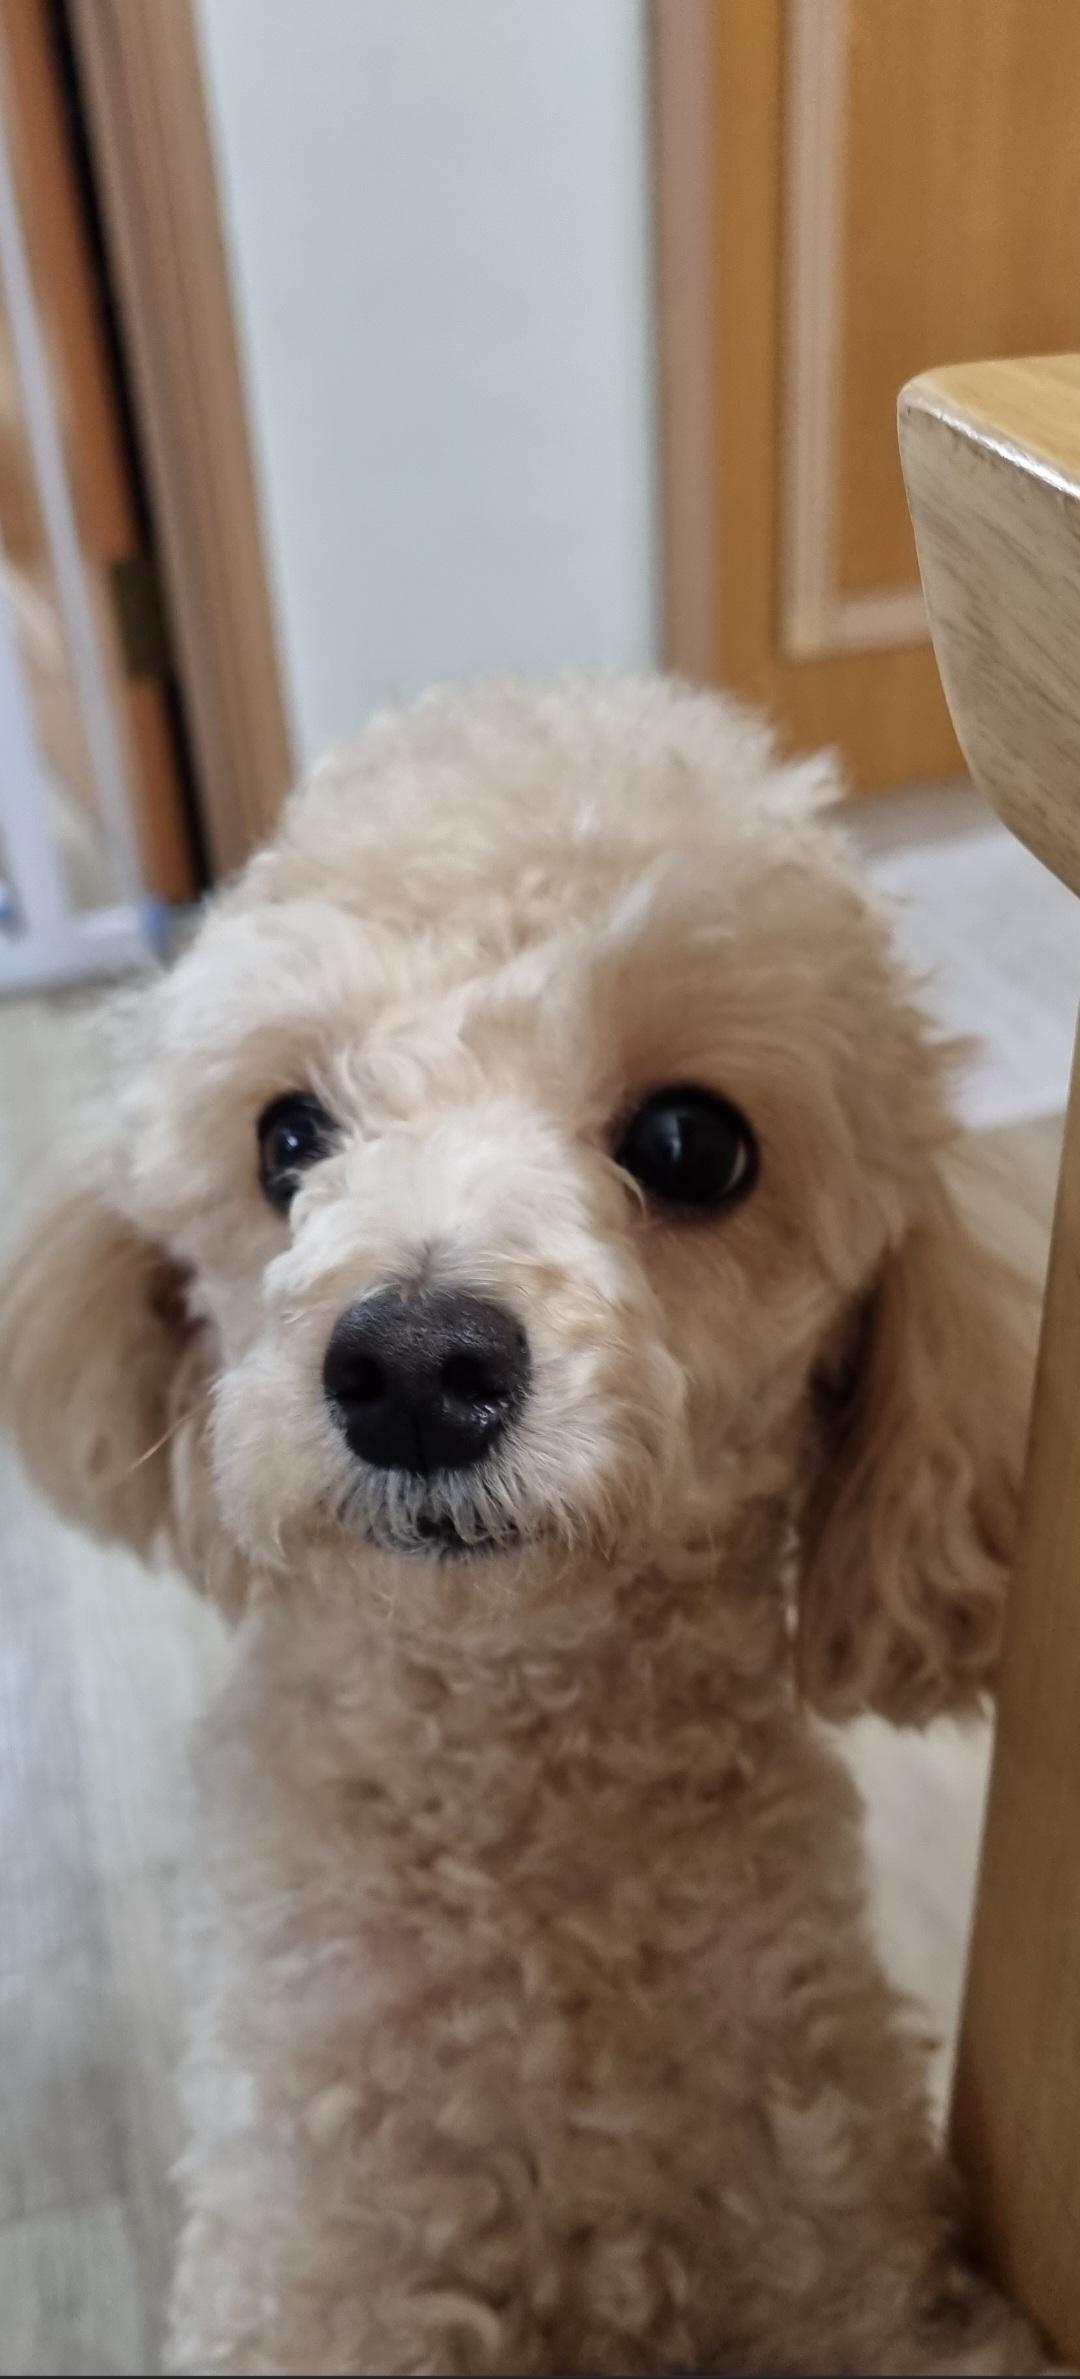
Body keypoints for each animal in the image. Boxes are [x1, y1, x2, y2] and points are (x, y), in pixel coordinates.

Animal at [0, 676, 1046, 2373]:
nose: (416, 1366)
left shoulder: (851, 2236)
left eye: (693, 1143)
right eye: (288, 1137)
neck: (522, 1841)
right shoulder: (302, 2259)